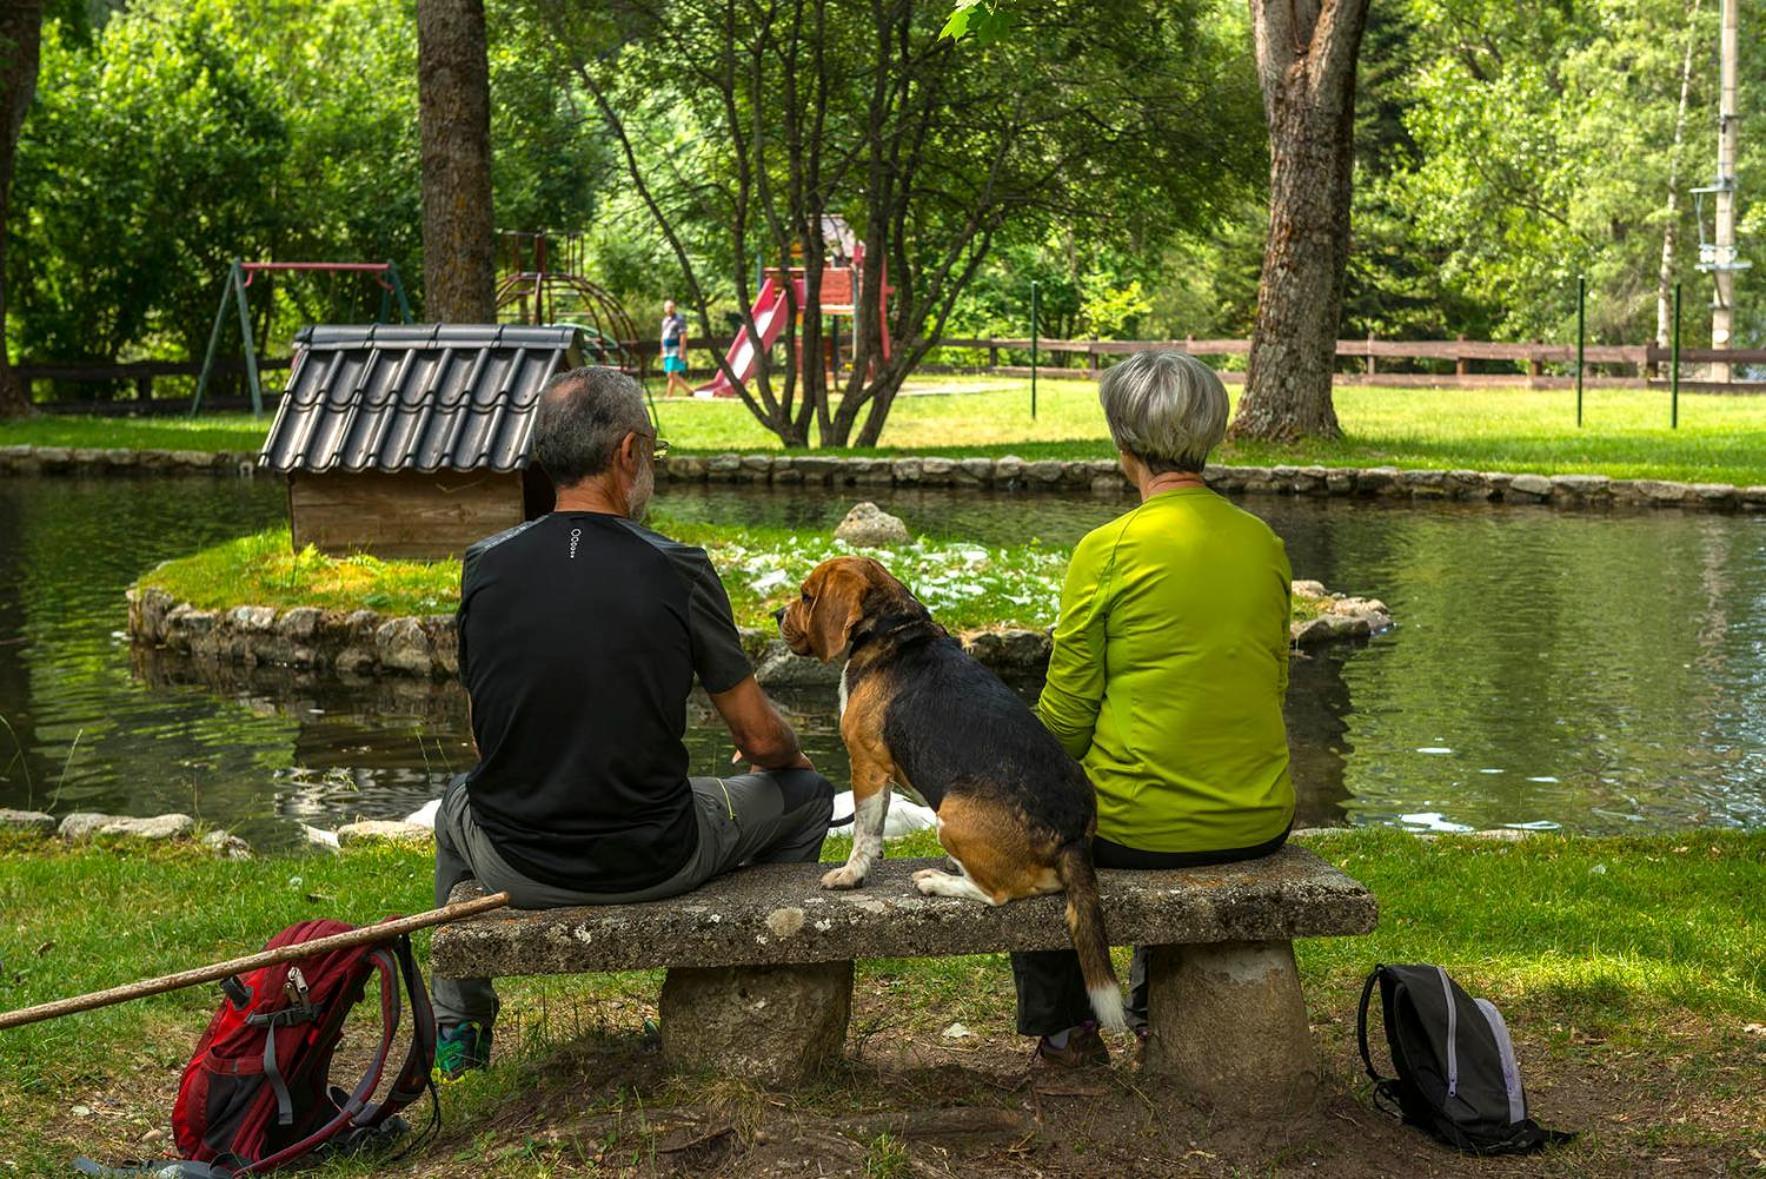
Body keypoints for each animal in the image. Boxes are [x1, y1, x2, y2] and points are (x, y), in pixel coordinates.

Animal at [780, 557, 1123, 1023]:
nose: (777, 615)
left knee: (999, 894)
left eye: (806, 596)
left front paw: (851, 875)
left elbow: (864, 833)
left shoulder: (867, 763)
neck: (895, 628)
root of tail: (1072, 833)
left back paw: (937, 881)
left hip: (952, 815)